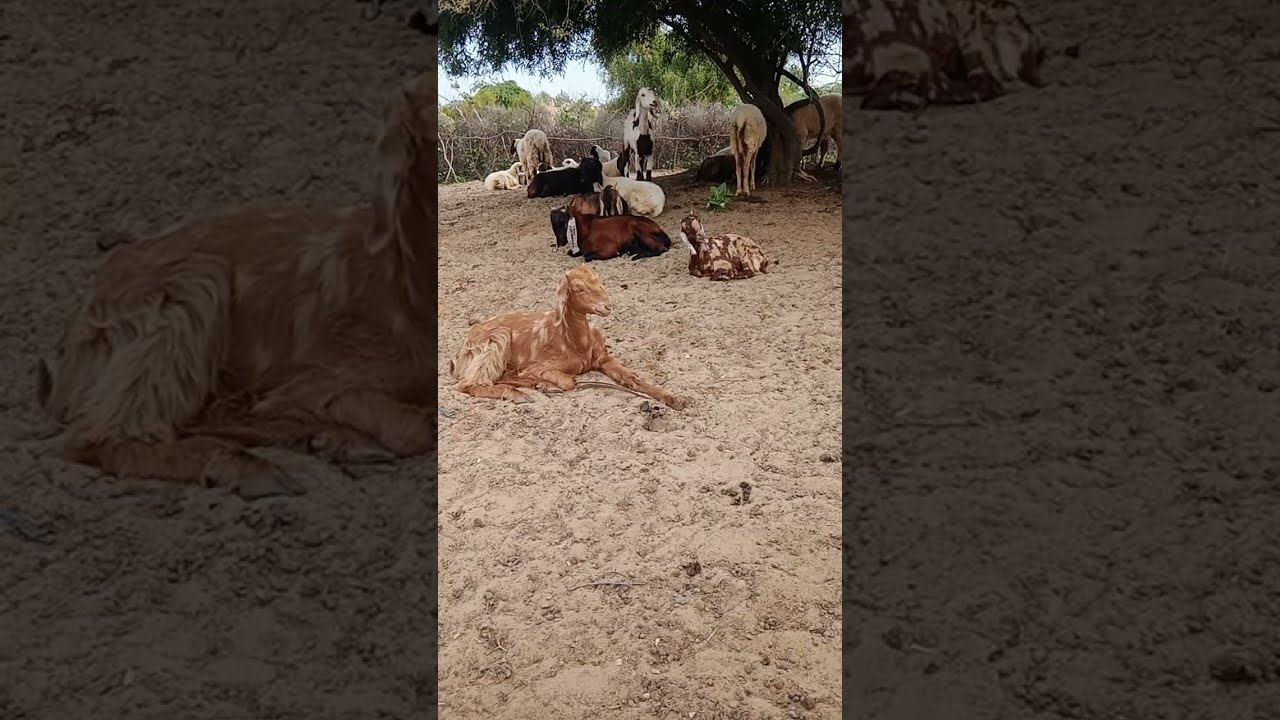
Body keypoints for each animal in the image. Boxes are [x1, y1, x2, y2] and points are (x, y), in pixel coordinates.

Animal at [34, 70, 440, 499]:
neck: (408, 294)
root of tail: (62, 355)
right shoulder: (321, 374)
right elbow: (411, 428)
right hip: (188, 289)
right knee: (104, 436)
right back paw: (252, 467)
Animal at [449, 265, 685, 409]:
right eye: (578, 289)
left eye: (599, 281)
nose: (607, 306)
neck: (576, 344)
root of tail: (458, 355)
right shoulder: (538, 365)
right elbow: (568, 381)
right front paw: (546, 384)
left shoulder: (603, 358)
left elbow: (633, 378)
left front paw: (674, 399)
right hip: (496, 340)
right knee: (469, 384)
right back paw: (518, 393)